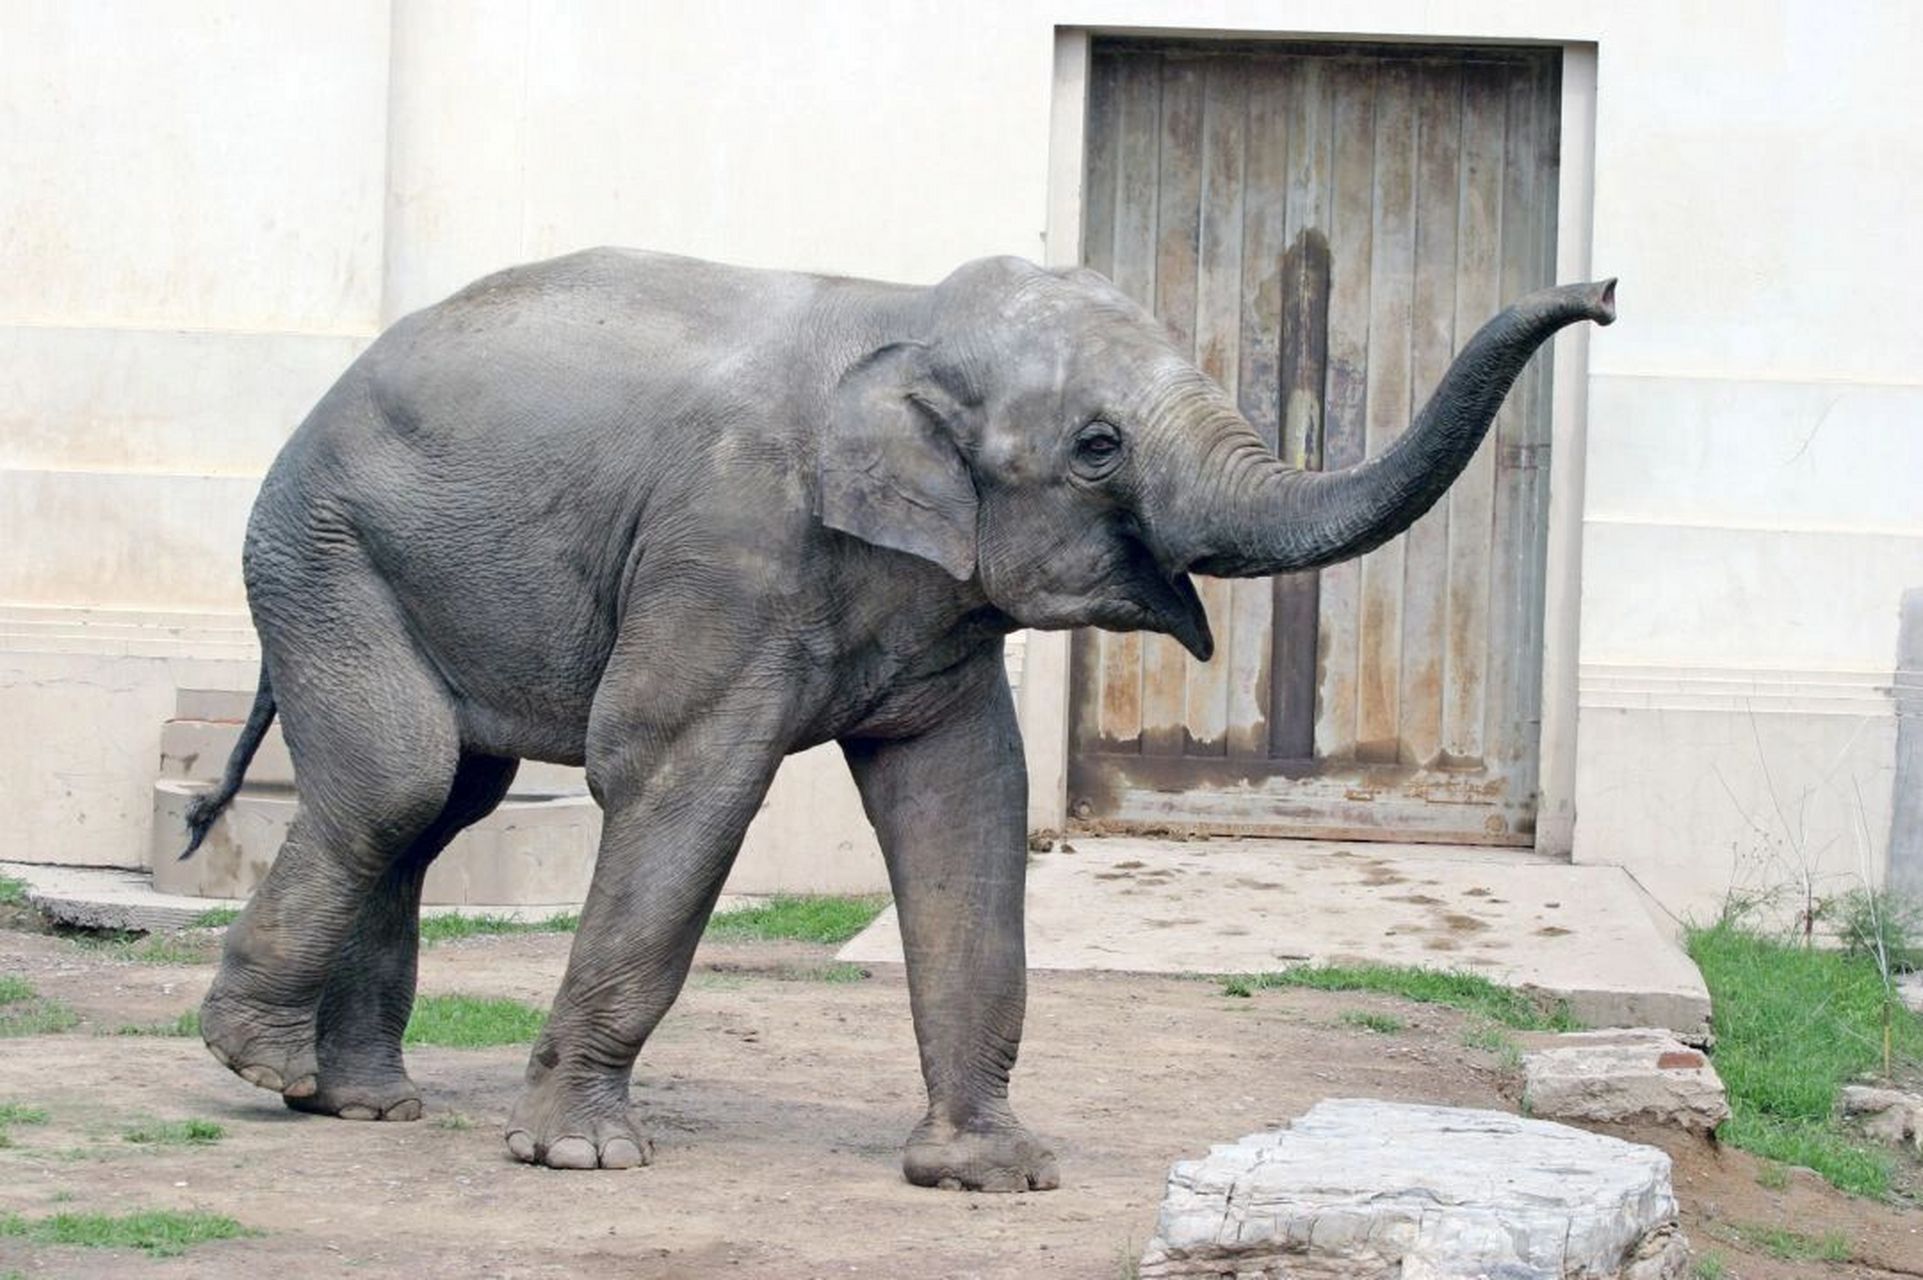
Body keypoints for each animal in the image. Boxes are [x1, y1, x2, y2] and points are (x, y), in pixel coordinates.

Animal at [182, 247, 1613, 1188]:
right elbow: (673, 777)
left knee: (440, 800)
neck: (905, 312)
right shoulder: (726, 546)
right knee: (403, 780)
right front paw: (582, 1155)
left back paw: (356, 1103)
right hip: (320, 551)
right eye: (1098, 445)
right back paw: (262, 1064)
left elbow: (966, 802)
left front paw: (990, 1173)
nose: (1602, 292)